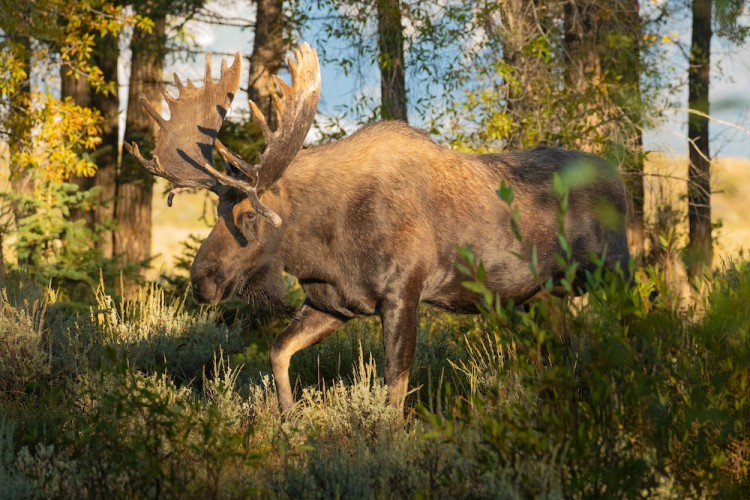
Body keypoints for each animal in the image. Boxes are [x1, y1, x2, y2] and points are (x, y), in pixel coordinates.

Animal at [126, 44, 632, 414]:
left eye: (250, 214)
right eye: (215, 210)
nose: (201, 280)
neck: (323, 250)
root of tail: (622, 182)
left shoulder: (403, 293)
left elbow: (393, 393)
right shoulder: (332, 302)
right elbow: (278, 352)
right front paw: (289, 418)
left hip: (612, 273)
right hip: (542, 297)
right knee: (568, 352)